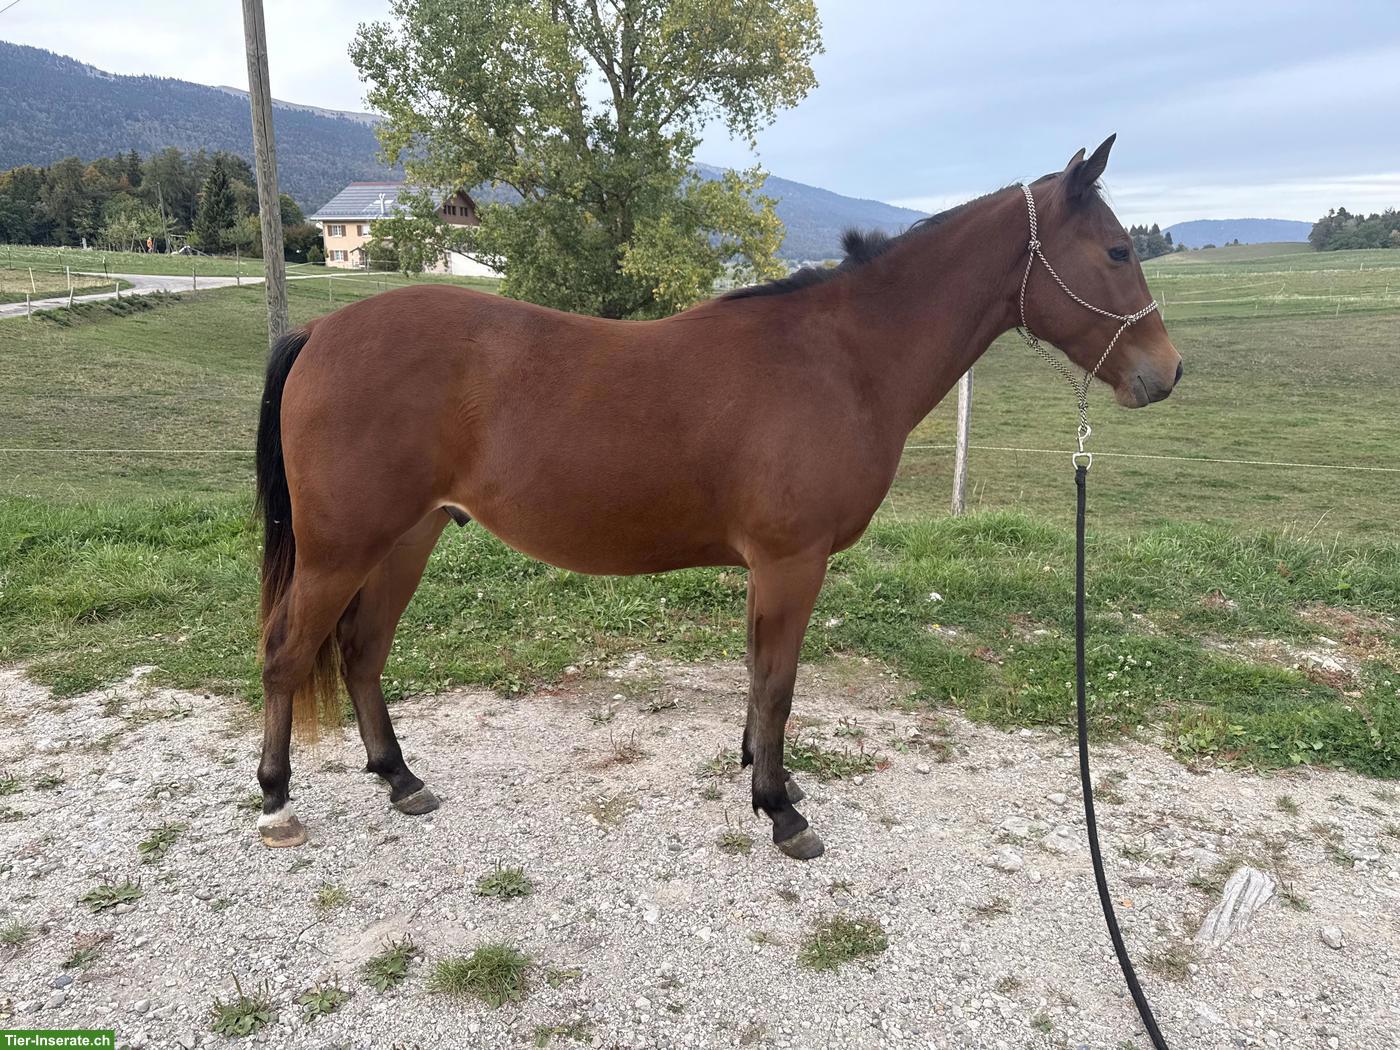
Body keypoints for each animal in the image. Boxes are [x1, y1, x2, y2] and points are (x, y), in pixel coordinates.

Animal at [253, 135, 1181, 860]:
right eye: (1117, 252)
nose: (1166, 374)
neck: (842, 359)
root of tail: (321, 333)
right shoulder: (790, 562)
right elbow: (777, 683)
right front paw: (780, 811)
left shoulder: (769, 569)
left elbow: (756, 675)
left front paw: (768, 779)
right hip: (342, 549)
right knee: (289, 655)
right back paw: (276, 801)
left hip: (407, 539)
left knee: (361, 652)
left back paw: (400, 777)